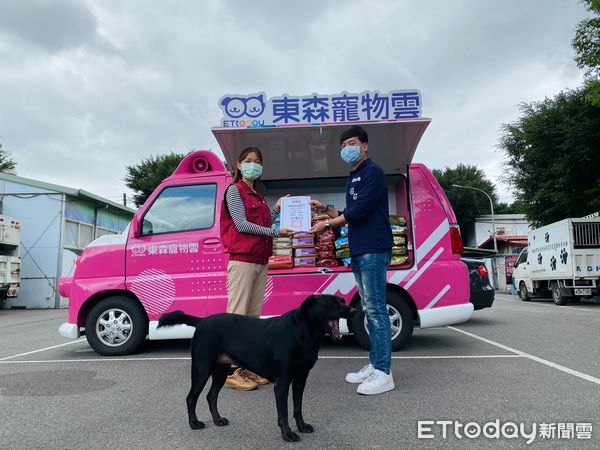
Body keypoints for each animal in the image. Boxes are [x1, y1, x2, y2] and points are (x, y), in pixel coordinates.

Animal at [159, 292, 354, 442]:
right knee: (191, 398)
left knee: (211, 396)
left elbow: (297, 407)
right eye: (331, 302)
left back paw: (218, 420)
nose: (353, 310)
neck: (303, 333)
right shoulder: (282, 382)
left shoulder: (301, 378)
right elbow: (283, 412)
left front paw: (302, 426)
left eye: (342, 300)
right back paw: (194, 423)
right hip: (201, 369)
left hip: (221, 370)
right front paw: (287, 434)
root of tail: (202, 321)